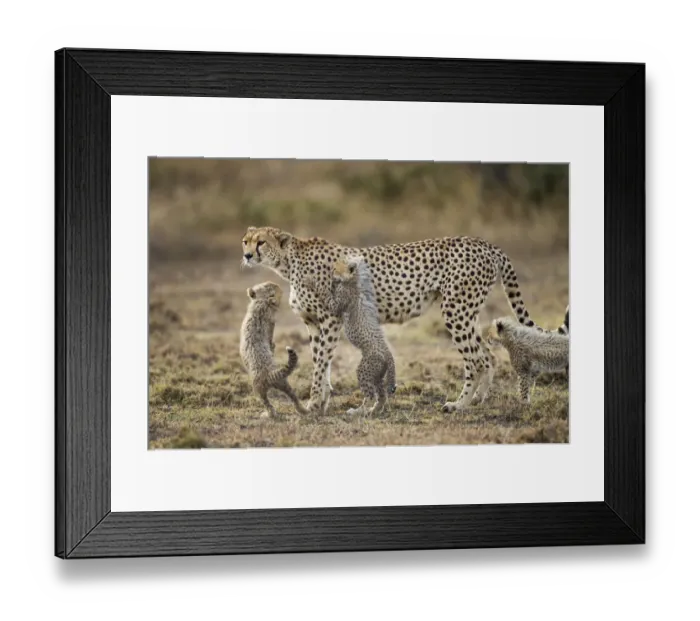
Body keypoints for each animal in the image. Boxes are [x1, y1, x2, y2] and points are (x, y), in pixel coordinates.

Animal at [239, 281, 308, 418]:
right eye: (267, 286)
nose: (277, 284)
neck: (261, 304)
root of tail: (270, 374)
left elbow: (270, 342)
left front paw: (273, 347)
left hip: (258, 389)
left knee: (267, 404)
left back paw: (269, 414)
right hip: (283, 383)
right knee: (293, 396)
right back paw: (303, 410)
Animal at [303, 255, 396, 416]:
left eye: (335, 268)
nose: (330, 273)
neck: (353, 280)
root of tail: (388, 355)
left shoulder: (337, 303)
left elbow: (326, 295)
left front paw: (312, 281)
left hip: (365, 369)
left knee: (370, 394)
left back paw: (358, 411)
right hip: (377, 374)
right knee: (382, 394)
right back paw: (374, 410)